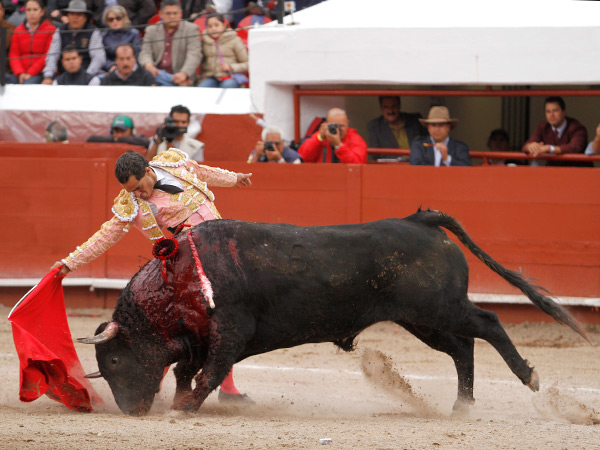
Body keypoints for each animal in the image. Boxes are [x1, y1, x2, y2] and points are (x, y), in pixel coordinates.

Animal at [78, 209, 584, 416]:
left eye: (116, 359)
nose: (131, 411)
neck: (179, 276)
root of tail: (420, 220)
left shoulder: (230, 331)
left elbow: (209, 372)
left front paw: (183, 410)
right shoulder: (199, 340)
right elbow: (190, 370)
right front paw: (183, 401)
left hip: (438, 308)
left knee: (488, 324)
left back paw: (528, 377)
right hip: (421, 319)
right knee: (463, 348)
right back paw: (462, 405)